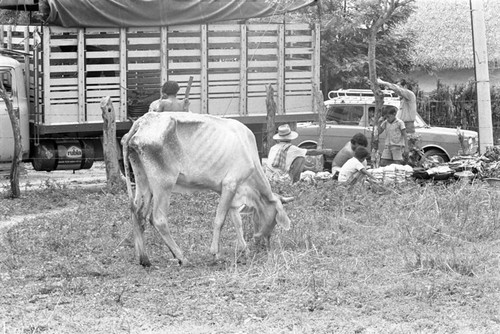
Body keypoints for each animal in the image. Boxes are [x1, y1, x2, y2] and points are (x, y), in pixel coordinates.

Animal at [122, 111, 292, 266]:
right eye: (275, 219)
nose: (265, 245)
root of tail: (143, 121)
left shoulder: (230, 191)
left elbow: (237, 221)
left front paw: (245, 249)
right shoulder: (230, 183)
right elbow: (219, 220)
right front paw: (215, 253)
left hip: (143, 181)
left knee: (137, 213)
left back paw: (144, 259)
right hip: (163, 184)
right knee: (157, 219)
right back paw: (181, 257)